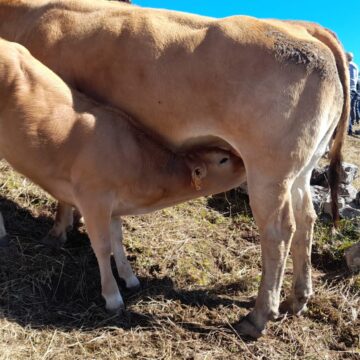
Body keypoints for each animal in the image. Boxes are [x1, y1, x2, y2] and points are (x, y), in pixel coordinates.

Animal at [0, 0, 348, 338]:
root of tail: (305, 31)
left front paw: (59, 231)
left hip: (268, 173)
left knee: (278, 232)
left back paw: (259, 316)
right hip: (300, 172)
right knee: (306, 219)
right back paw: (297, 298)